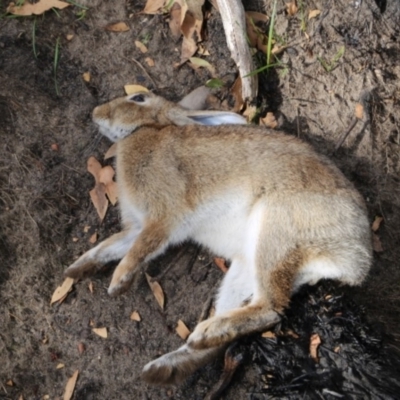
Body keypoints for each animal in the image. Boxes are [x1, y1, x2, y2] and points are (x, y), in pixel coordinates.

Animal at [64, 90, 374, 384]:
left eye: (138, 98)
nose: (96, 112)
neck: (147, 130)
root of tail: (355, 259)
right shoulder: (136, 227)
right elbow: (111, 246)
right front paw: (76, 269)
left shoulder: (163, 219)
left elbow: (139, 250)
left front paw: (117, 283)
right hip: (248, 266)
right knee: (219, 340)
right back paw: (166, 367)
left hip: (275, 232)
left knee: (271, 308)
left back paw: (203, 334)